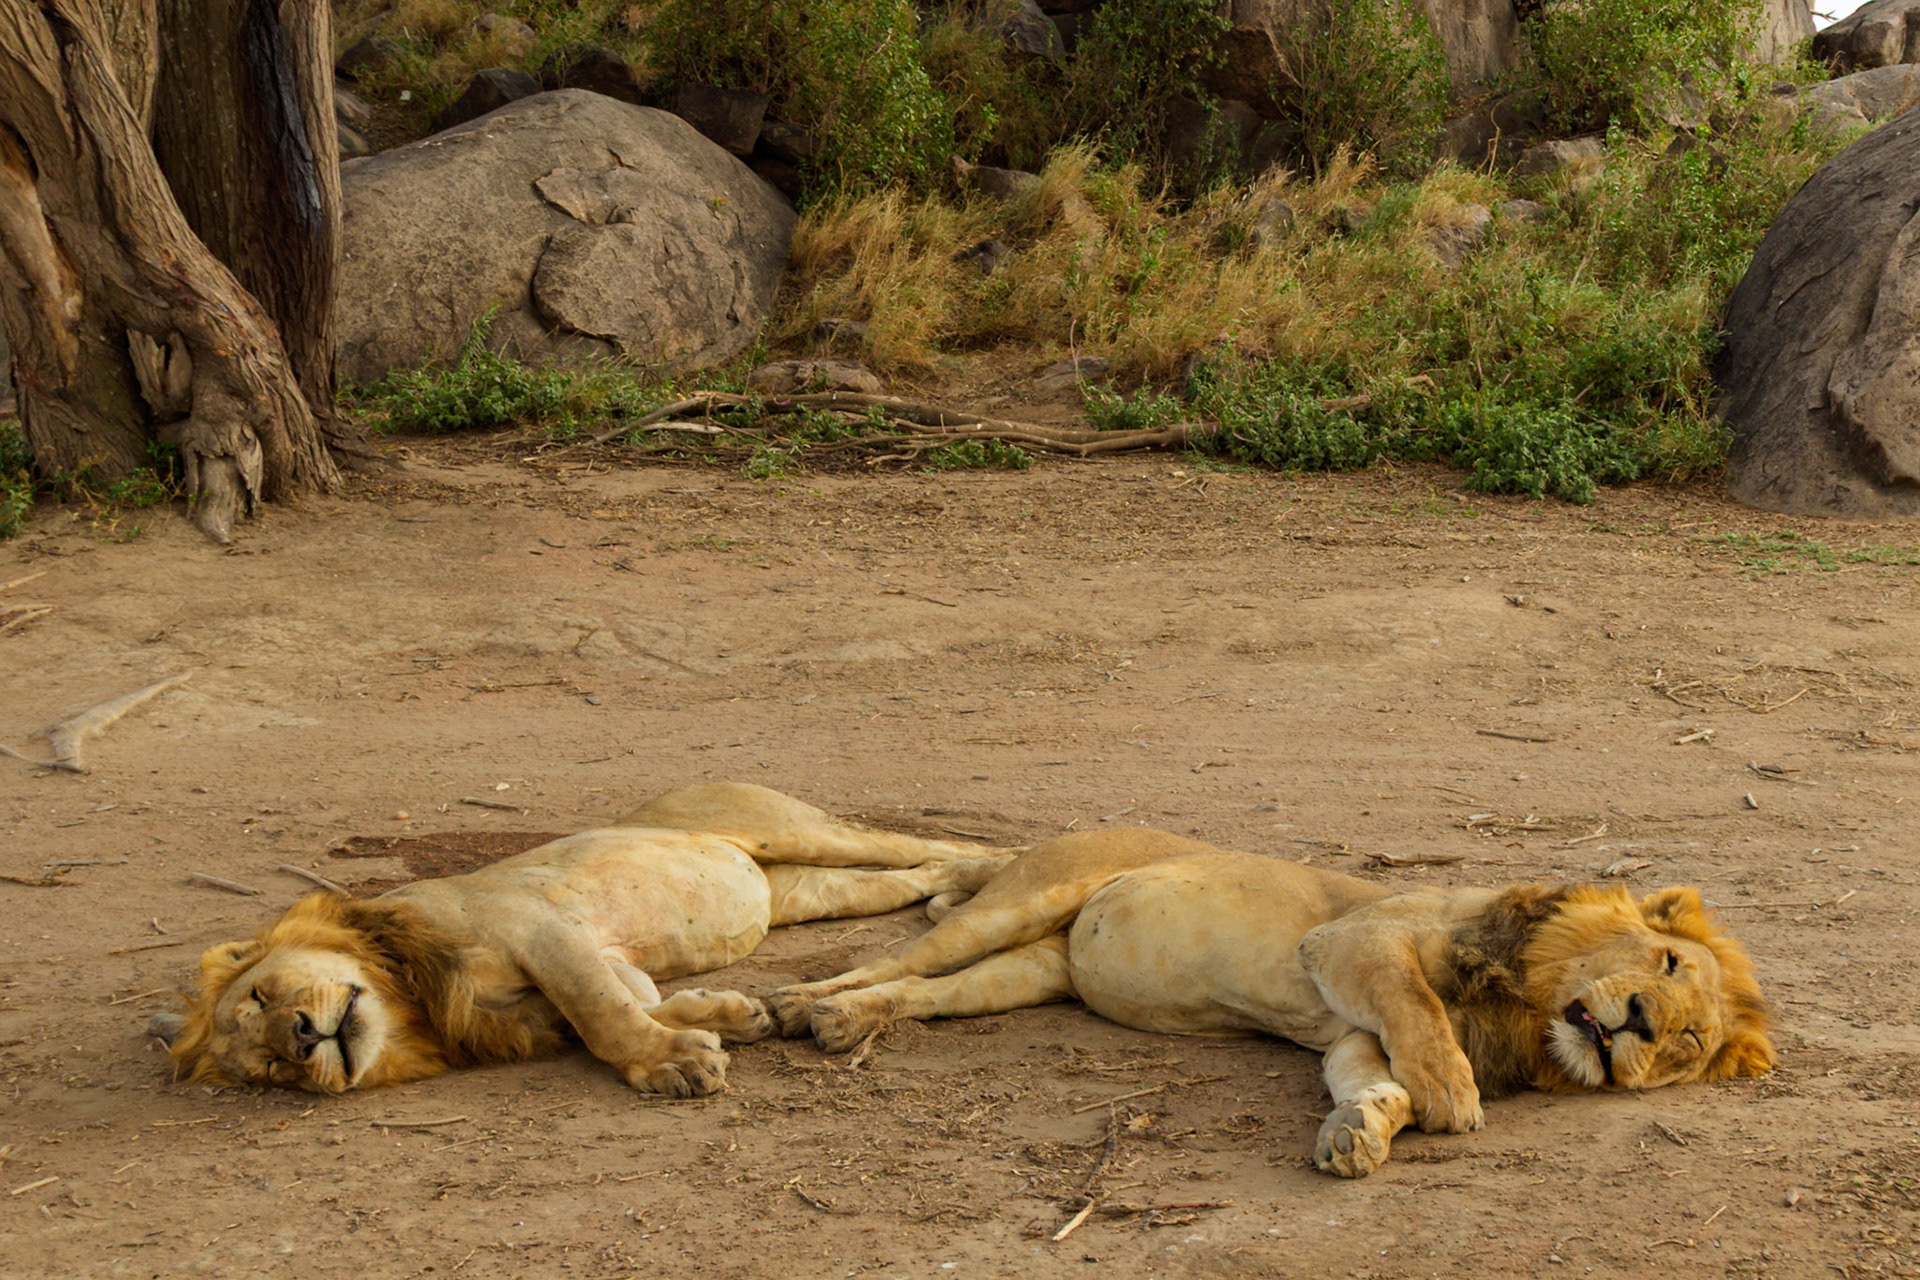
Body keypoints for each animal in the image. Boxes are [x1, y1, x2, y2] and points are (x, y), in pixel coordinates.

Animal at [163, 783, 1013, 1097]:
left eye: (263, 995)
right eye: (271, 1070)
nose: (303, 1040)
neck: (414, 1004)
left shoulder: (541, 929)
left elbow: (600, 1017)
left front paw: (673, 1066)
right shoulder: (592, 968)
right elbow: (628, 1003)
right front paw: (727, 1017)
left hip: (788, 827)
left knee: (918, 842)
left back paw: (1004, 862)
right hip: (802, 890)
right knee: (916, 874)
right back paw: (956, 891)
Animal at [762, 829, 1774, 1176]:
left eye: (1687, 1043)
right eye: (1668, 963)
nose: (1643, 1022)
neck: (1530, 1012)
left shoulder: (1352, 1035)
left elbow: (1374, 1079)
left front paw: (1361, 1134)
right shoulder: (1353, 943)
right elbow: (1422, 1019)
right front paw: (1454, 1097)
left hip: (1030, 970)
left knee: (923, 992)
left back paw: (845, 1024)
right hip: (1023, 899)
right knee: (892, 956)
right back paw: (792, 1005)